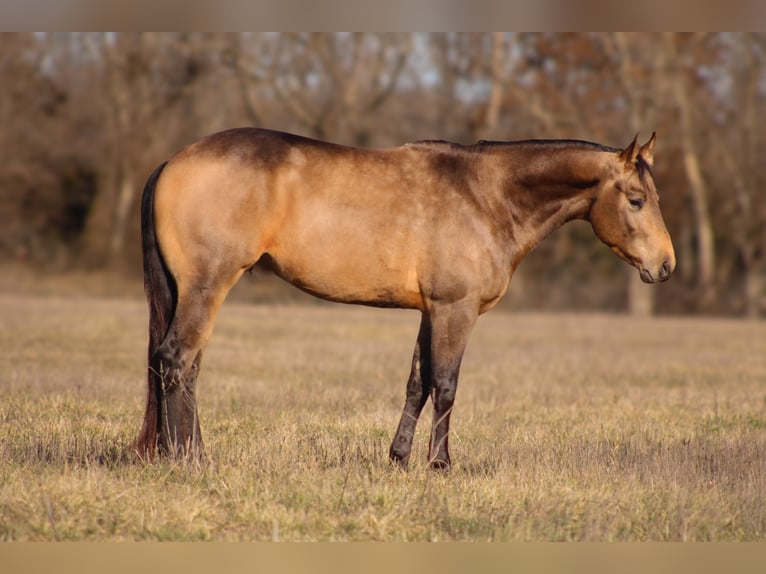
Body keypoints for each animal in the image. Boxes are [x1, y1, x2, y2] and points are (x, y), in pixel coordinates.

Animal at [135, 129, 676, 472]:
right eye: (635, 200)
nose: (666, 265)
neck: (486, 195)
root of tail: (171, 163)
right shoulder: (456, 310)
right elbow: (447, 385)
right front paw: (440, 464)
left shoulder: (430, 311)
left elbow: (418, 383)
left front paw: (398, 459)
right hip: (208, 286)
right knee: (175, 361)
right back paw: (186, 461)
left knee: (185, 367)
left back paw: (189, 454)